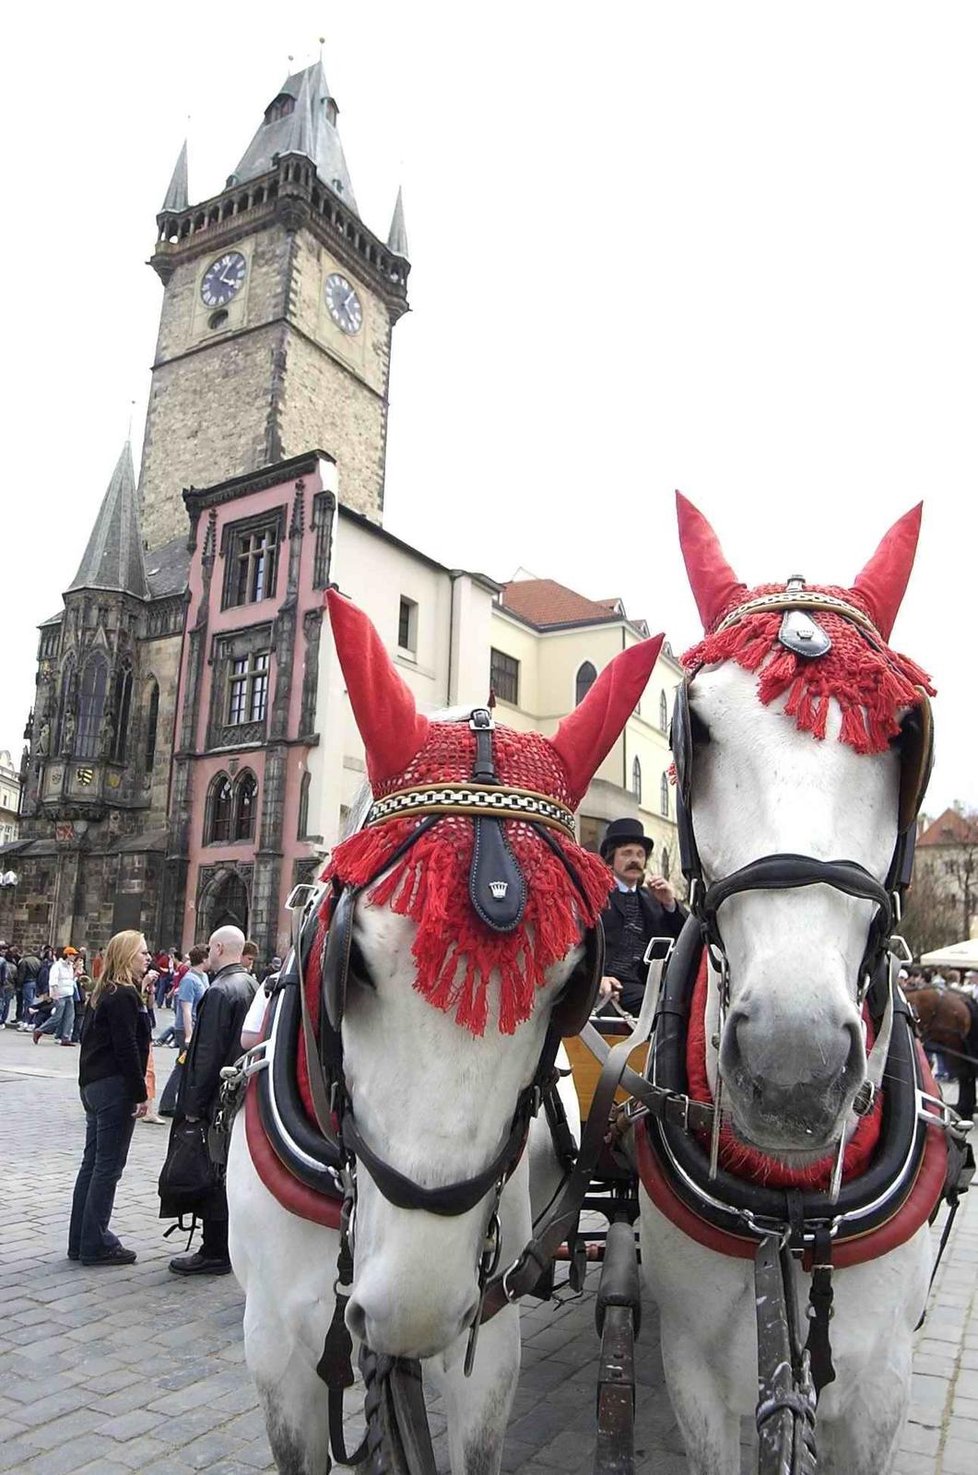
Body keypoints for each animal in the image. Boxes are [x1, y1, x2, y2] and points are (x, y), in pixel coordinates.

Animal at [643, 498, 944, 1475]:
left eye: (905, 733)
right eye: (696, 729)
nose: (793, 1066)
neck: (788, 1194)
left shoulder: (880, 1387)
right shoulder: (692, 1370)